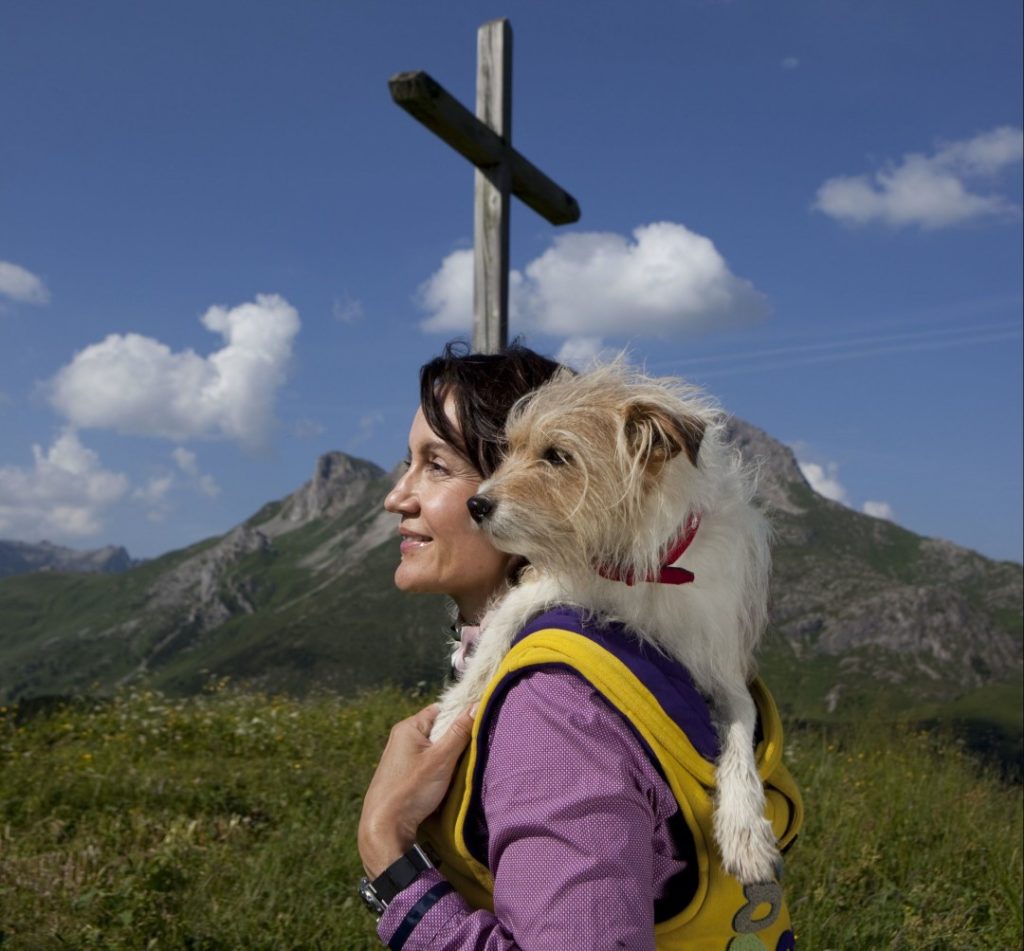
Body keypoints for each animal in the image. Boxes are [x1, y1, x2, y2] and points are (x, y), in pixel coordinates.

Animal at [430, 362, 774, 884]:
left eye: (557, 456)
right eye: (511, 449)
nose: (476, 505)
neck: (641, 574)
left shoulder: (722, 667)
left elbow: (739, 731)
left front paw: (745, 829)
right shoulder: (549, 584)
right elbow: (494, 640)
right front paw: (450, 716)